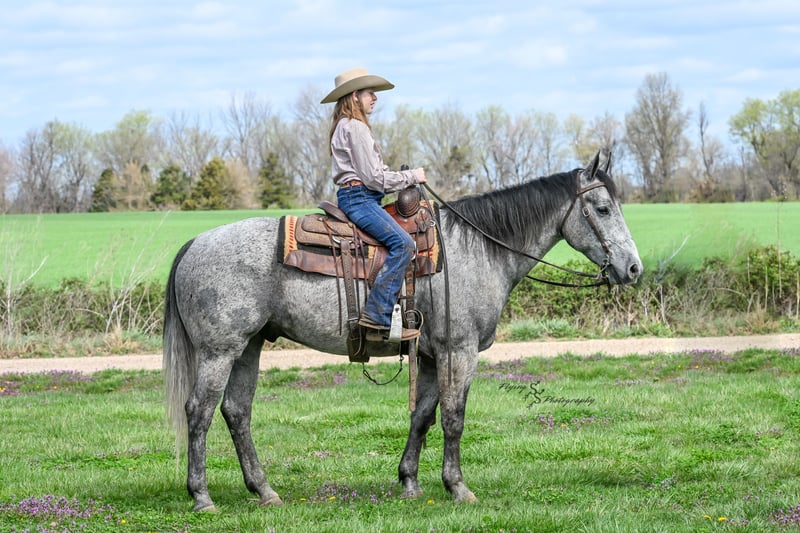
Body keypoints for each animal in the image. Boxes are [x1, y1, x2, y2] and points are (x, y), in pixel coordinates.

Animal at [163, 152, 642, 511]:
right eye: (603, 209)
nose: (633, 268)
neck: (477, 250)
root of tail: (193, 244)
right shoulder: (458, 351)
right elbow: (453, 417)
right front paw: (458, 487)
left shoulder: (429, 355)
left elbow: (423, 416)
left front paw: (409, 482)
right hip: (219, 351)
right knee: (199, 412)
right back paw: (202, 496)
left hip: (249, 347)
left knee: (236, 412)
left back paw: (264, 490)